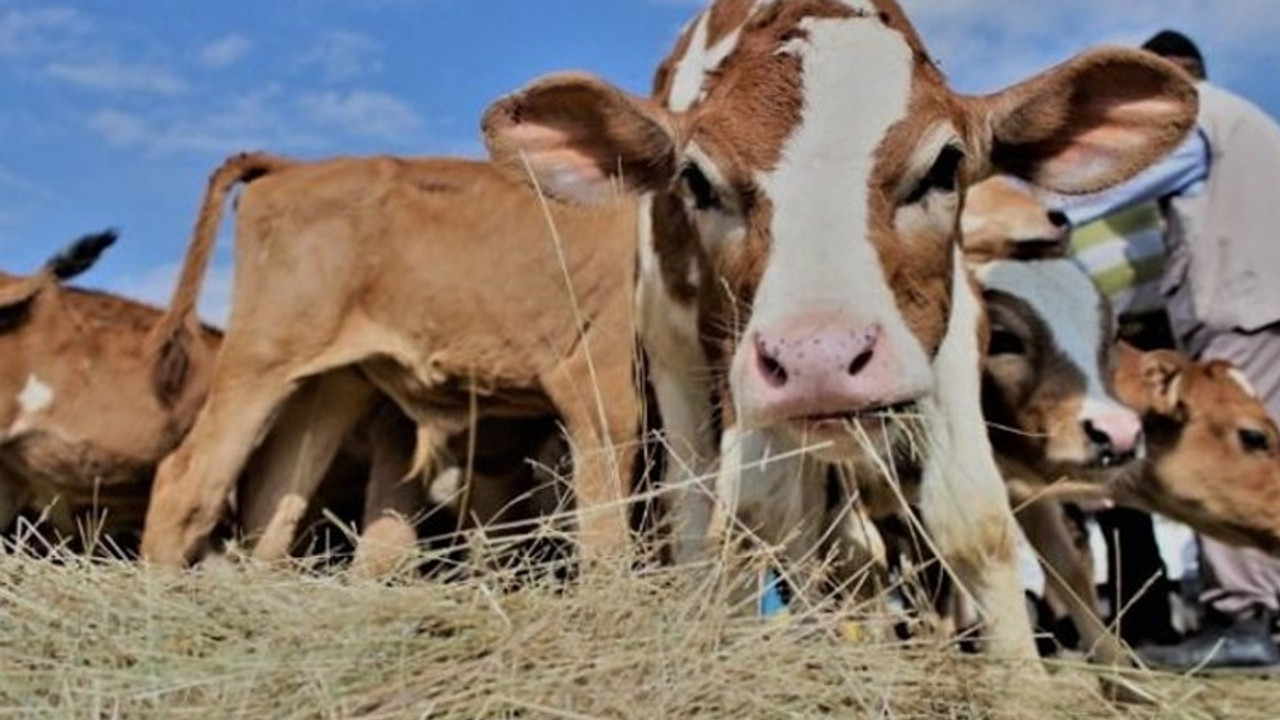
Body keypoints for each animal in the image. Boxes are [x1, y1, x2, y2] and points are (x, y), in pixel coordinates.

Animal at [481, 0, 1198, 661]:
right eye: (697, 182)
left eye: (945, 166)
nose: (818, 358)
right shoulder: (725, 369)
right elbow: (751, 519)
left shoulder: (951, 334)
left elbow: (974, 522)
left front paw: (1027, 687)